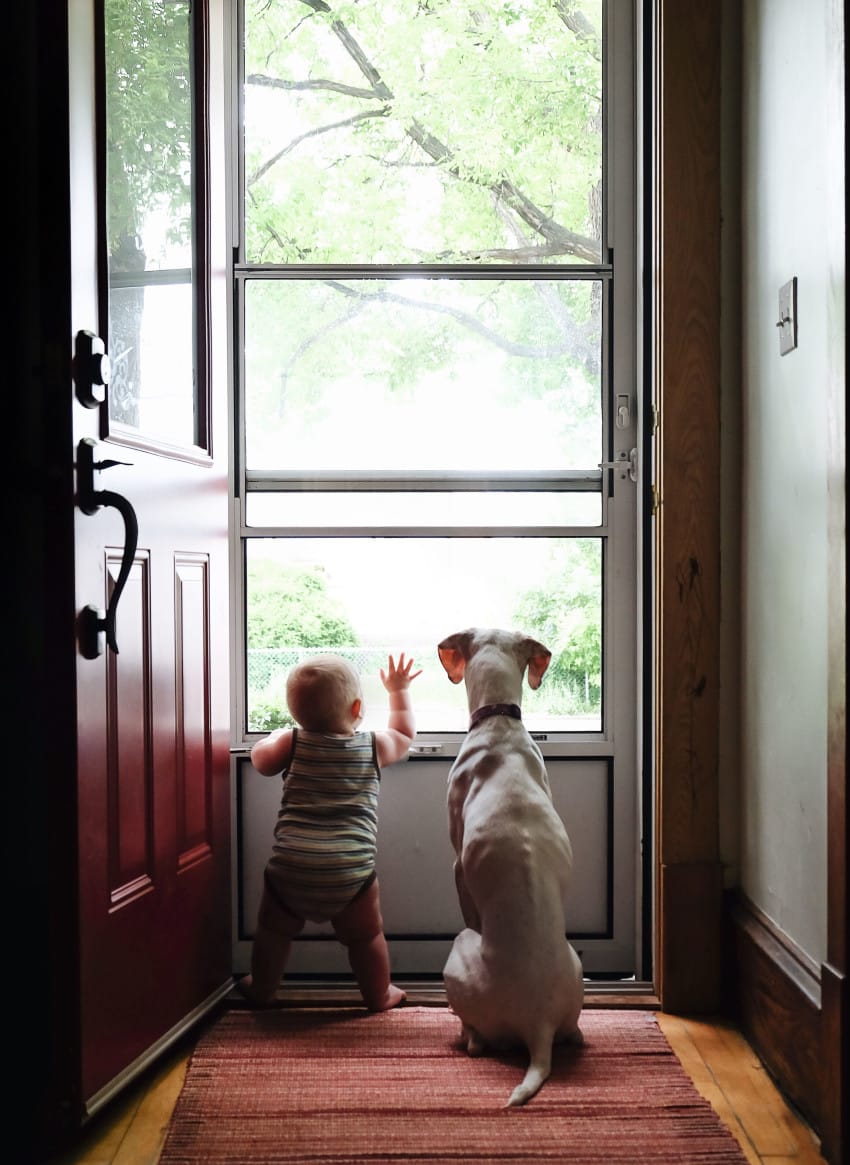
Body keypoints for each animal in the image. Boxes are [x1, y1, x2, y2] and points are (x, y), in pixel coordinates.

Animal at [437, 629, 582, 1109]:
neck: (499, 723)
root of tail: (537, 1026)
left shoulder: (458, 868)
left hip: (458, 953)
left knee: (476, 1039)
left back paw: (467, 1036)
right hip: (576, 969)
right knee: (572, 1034)